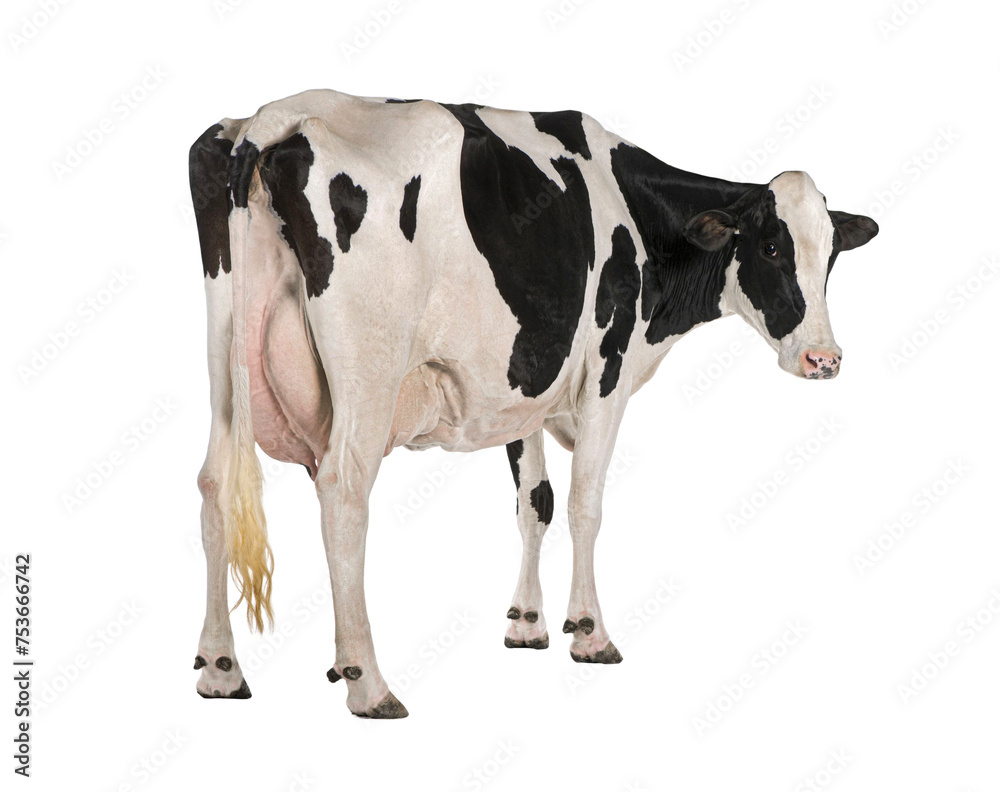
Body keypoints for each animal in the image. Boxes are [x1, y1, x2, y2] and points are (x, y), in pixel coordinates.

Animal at [188, 86, 876, 716]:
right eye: (771, 248)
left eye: (831, 257)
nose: (824, 359)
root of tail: (280, 114)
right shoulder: (605, 371)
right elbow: (584, 505)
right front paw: (589, 633)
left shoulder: (525, 391)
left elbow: (534, 502)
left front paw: (526, 623)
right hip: (368, 370)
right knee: (344, 490)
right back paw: (368, 682)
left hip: (224, 350)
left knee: (216, 483)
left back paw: (221, 668)